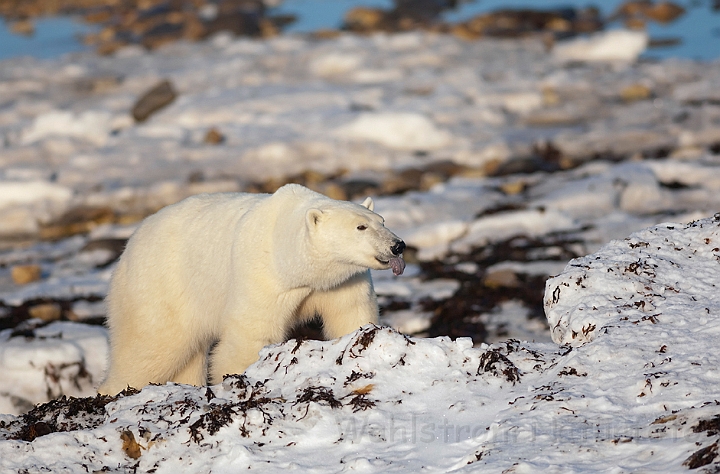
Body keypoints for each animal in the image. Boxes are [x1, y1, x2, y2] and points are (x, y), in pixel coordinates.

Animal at [97, 183, 404, 394]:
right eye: (361, 227)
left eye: (382, 221)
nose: (397, 245)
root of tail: (129, 246)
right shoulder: (261, 274)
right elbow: (251, 335)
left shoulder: (341, 281)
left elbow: (351, 314)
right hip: (161, 286)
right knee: (149, 346)